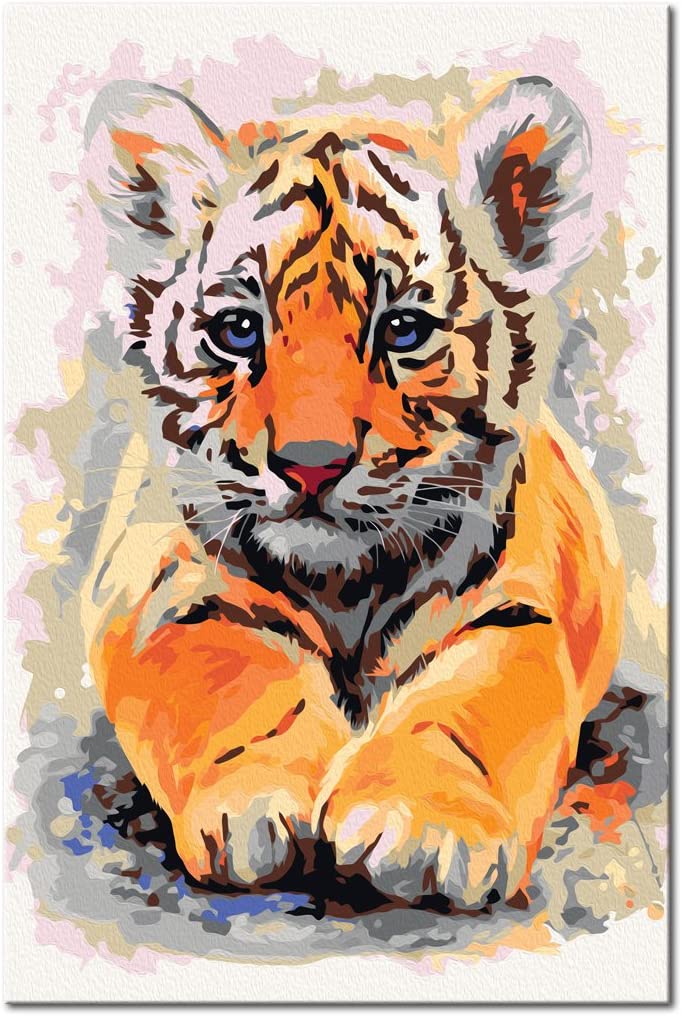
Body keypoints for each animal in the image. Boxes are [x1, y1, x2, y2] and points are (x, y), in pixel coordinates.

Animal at [80, 74, 624, 910]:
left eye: (402, 331)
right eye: (238, 331)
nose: (311, 465)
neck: (345, 583)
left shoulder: (519, 604)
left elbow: (470, 706)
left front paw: (426, 826)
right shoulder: (165, 590)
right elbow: (235, 678)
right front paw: (262, 802)